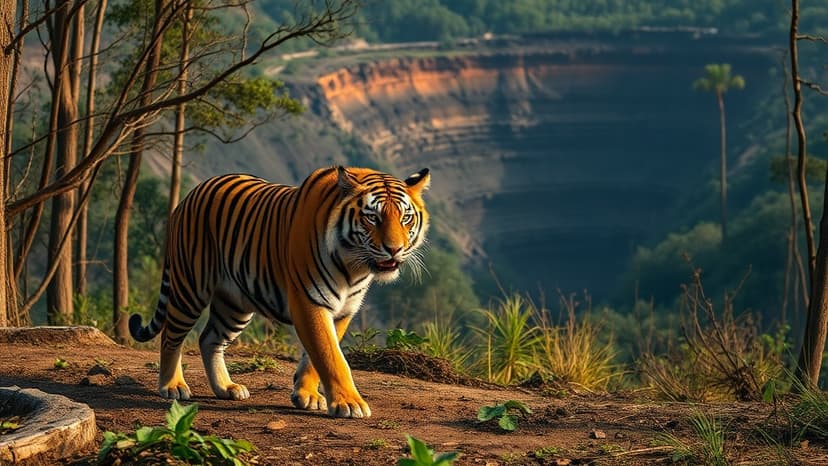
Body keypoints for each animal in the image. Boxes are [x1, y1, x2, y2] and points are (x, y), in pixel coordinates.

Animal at [129, 166, 430, 418]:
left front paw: (306, 395)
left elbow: (315, 357)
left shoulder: (343, 311)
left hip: (235, 304)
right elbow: (330, 355)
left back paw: (226, 388)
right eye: (372, 218)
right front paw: (349, 403)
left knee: (209, 339)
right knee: (171, 336)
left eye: (405, 218)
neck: (354, 266)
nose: (394, 249)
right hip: (190, 287)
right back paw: (172, 386)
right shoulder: (309, 301)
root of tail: (191, 194)